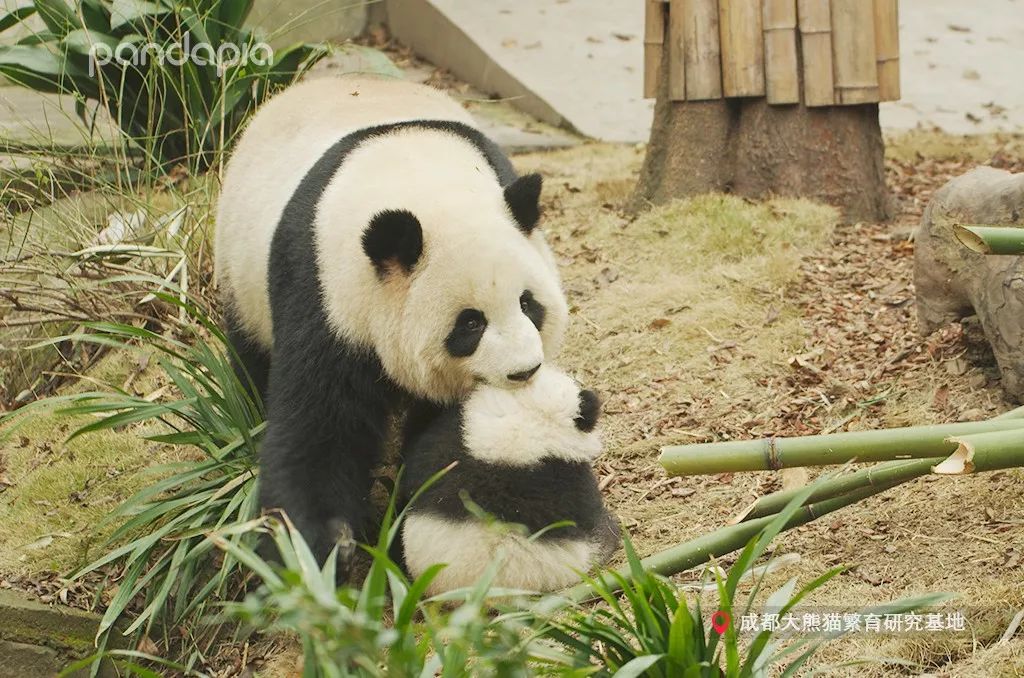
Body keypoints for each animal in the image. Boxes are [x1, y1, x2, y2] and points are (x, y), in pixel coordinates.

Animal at [216, 76, 569, 569]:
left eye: (528, 303)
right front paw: (319, 544)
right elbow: (319, 423)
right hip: (240, 273)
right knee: (250, 356)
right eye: (470, 325)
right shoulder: (325, 293)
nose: (524, 371)